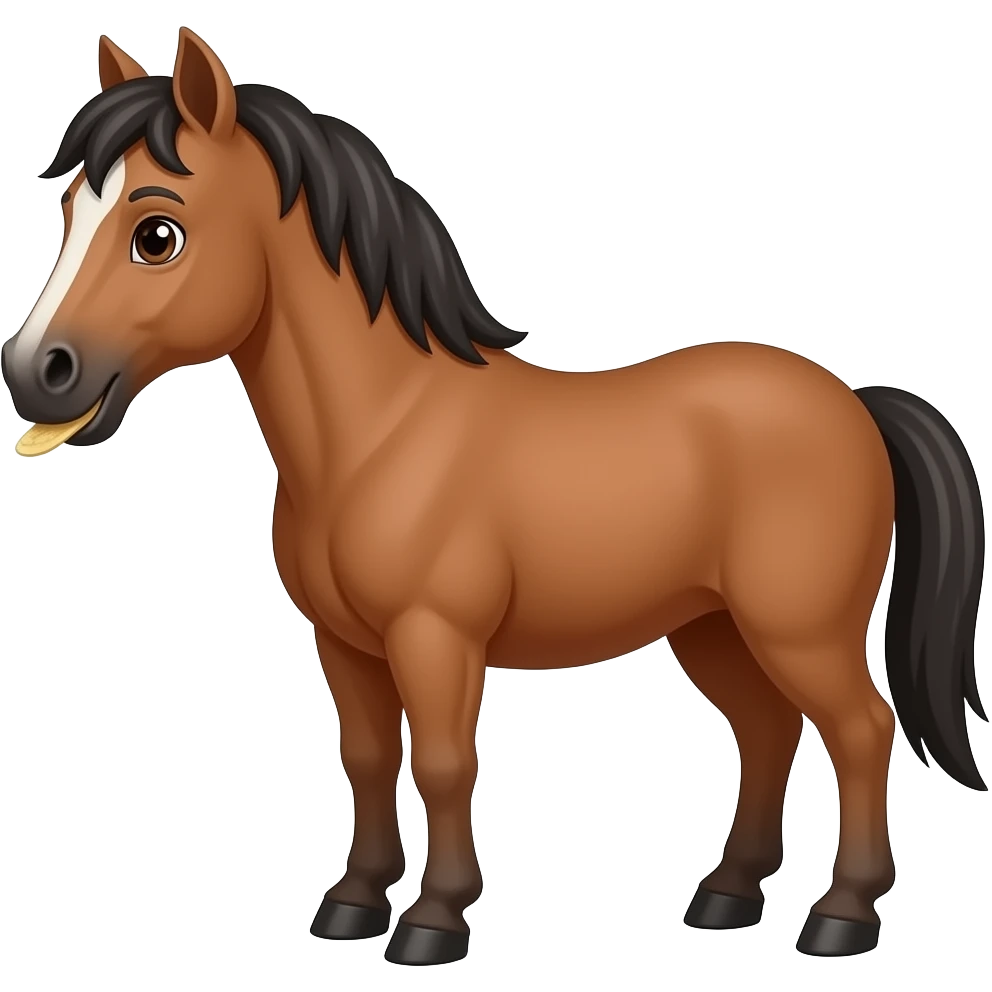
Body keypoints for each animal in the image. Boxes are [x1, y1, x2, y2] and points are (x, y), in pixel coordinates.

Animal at [2, 28, 986, 966]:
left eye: (155, 233)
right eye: (68, 210)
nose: (35, 372)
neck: (386, 430)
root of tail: (855, 403)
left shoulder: (435, 635)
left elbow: (442, 764)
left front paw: (434, 922)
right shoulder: (343, 642)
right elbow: (367, 758)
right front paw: (353, 904)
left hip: (798, 629)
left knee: (861, 730)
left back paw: (842, 917)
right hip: (714, 628)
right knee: (769, 732)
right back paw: (728, 897)